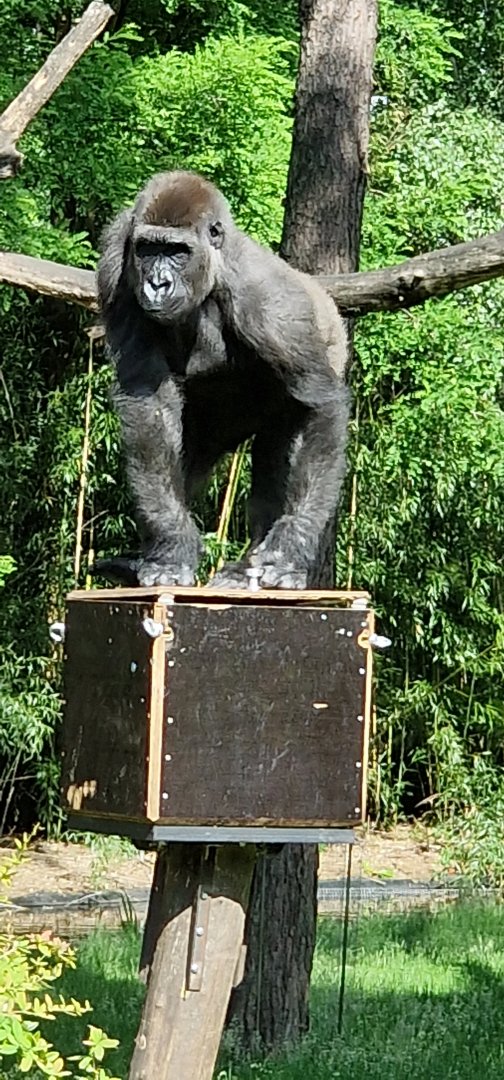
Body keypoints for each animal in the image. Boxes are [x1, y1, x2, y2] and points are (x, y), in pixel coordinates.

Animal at [96, 170, 349, 590]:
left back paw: (248, 567)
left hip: (331, 343)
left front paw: (287, 553)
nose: (157, 284)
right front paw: (170, 549)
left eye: (177, 252)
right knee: (190, 456)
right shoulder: (115, 257)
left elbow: (320, 405)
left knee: (285, 446)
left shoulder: (267, 301)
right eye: (147, 249)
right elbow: (149, 404)